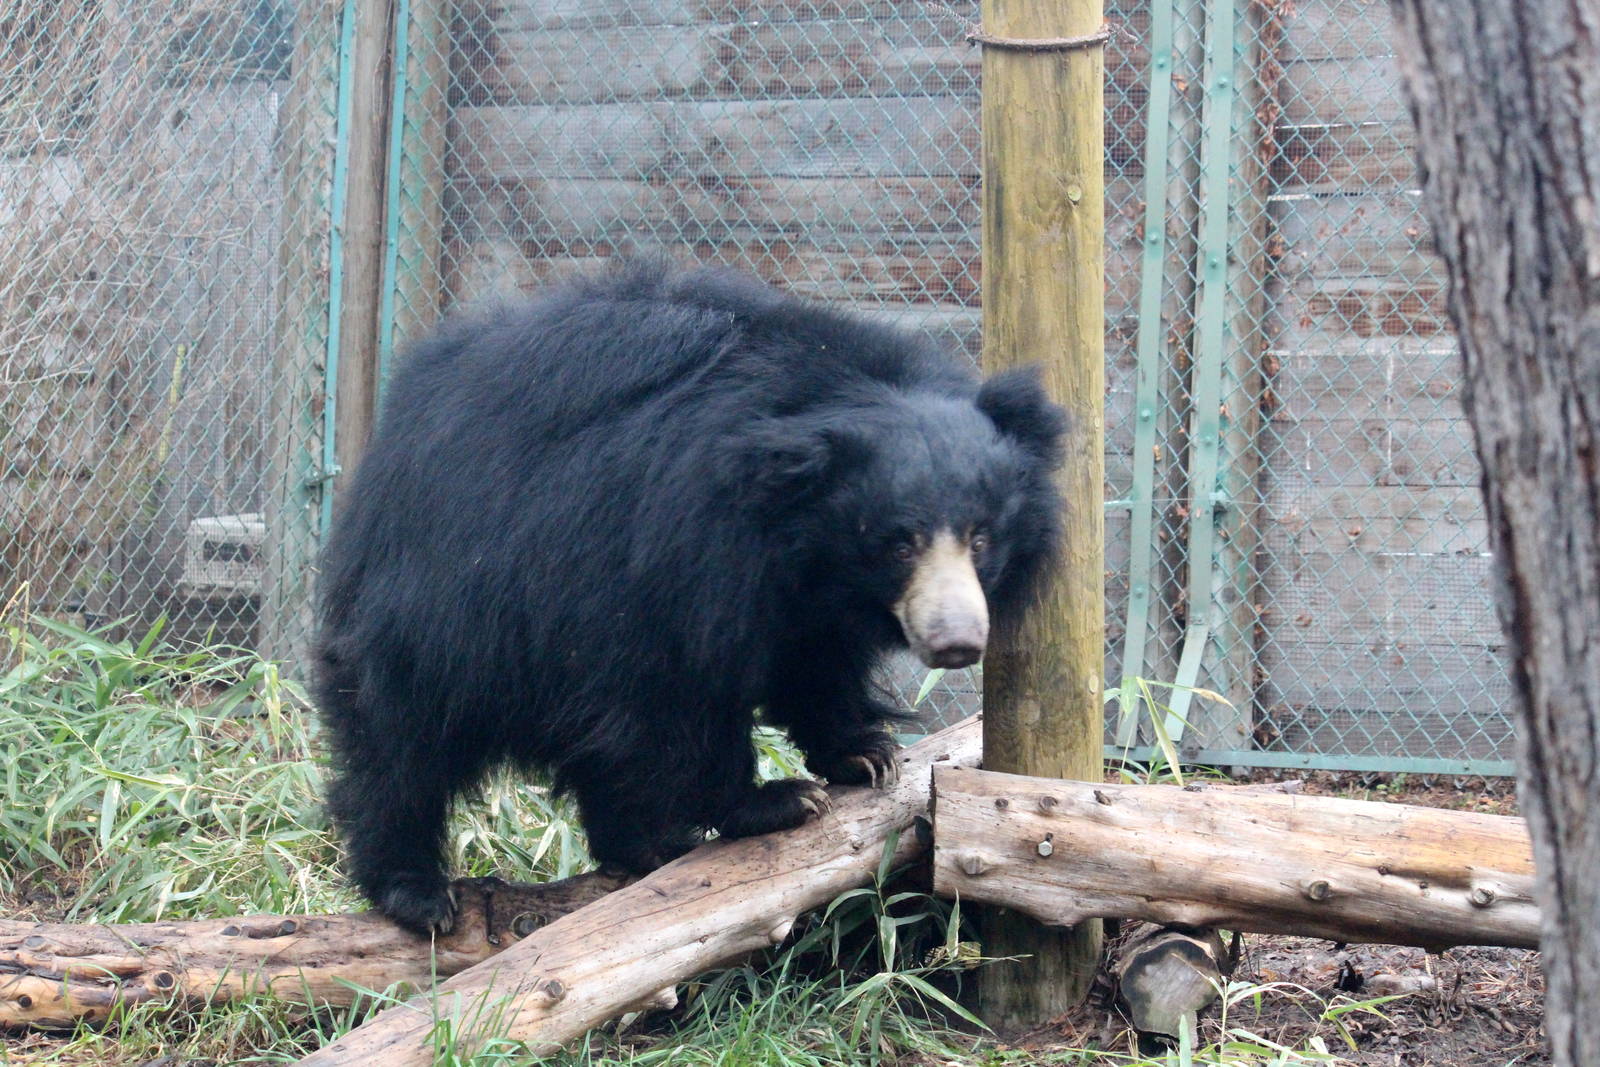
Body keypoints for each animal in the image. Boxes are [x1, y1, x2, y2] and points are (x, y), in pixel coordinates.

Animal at [313, 259, 1067, 934]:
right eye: (898, 543)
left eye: (981, 535)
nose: (957, 642)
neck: (795, 534)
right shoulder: (675, 553)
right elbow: (683, 695)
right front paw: (774, 800)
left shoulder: (804, 596)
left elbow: (816, 662)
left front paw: (863, 752)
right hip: (442, 596)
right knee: (403, 738)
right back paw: (416, 891)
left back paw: (641, 846)